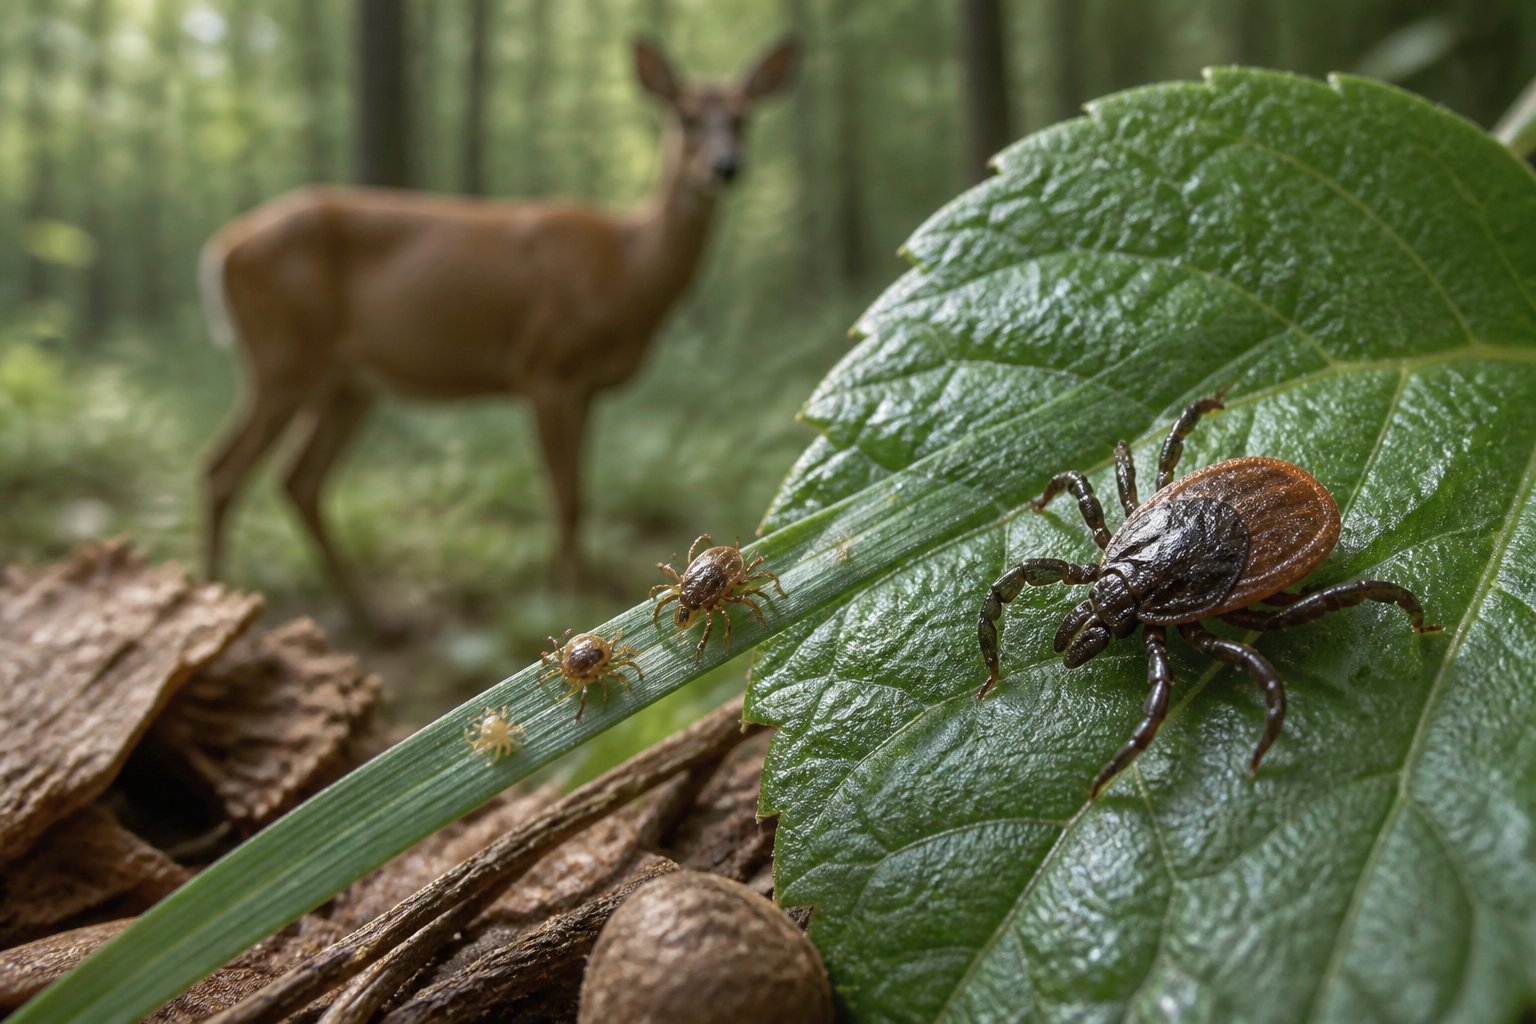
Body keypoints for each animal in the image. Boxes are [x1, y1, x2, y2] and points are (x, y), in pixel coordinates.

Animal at [199, 38, 798, 632]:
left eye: (743, 117)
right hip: (283, 356)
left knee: (296, 479)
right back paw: (217, 602)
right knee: (224, 470)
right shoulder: (544, 367)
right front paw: (568, 601)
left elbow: (580, 492)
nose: (725, 167)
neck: (625, 268)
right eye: (686, 116)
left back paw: (370, 615)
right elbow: (563, 495)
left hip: (347, 383)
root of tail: (222, 247)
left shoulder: (587, 387)